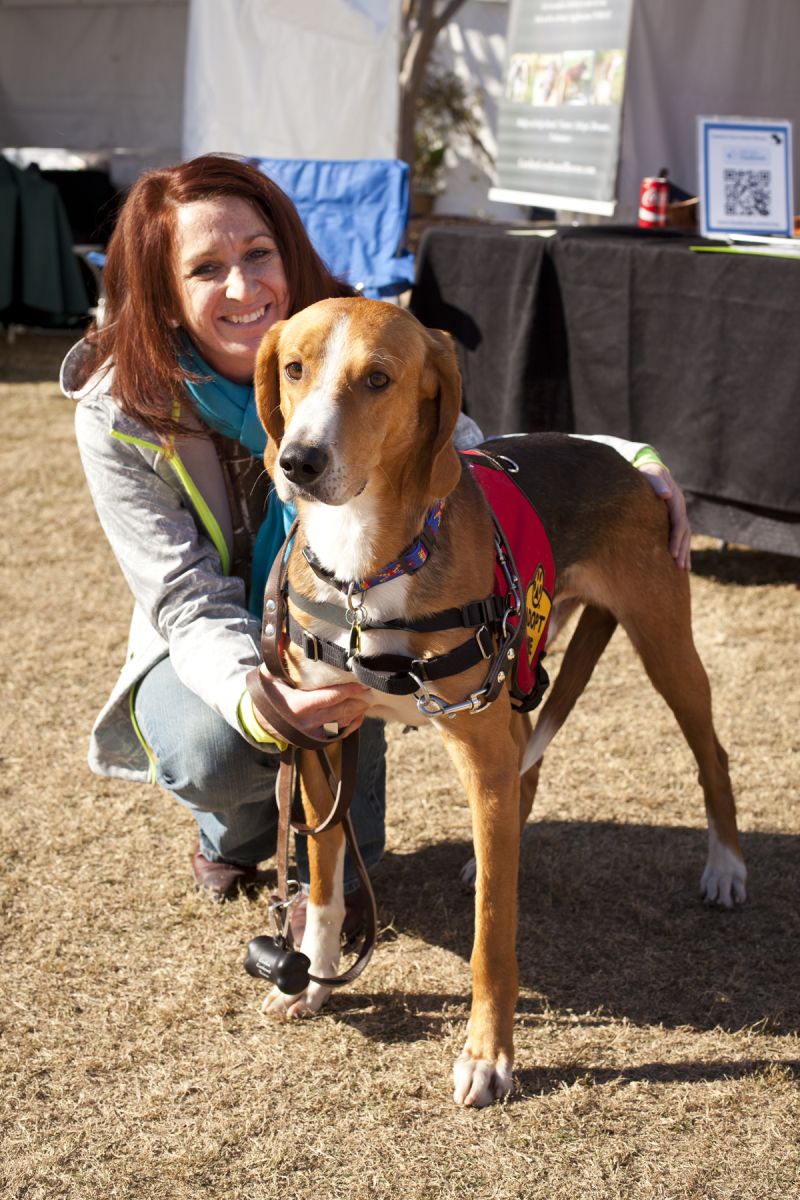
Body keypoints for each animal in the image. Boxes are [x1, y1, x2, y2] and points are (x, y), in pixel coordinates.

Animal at [253, 297, 748, 1104]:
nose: (298, 462)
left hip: (664, 647)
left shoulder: (478, 751)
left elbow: (493, 933)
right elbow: (324, 884)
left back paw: (726, 867)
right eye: (293, 369)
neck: (368, 569)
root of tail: (625, 461)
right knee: (529, 767)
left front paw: (489, 1057)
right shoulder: (321, 736)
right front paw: (316, 983)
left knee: (712, 754)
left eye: (378, 379)